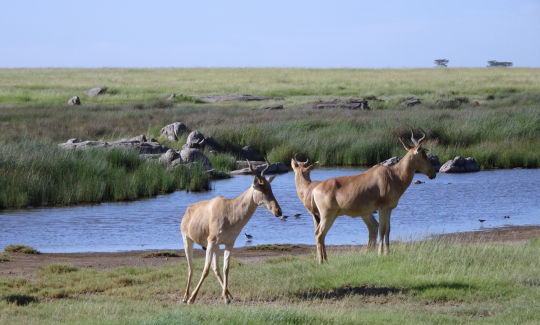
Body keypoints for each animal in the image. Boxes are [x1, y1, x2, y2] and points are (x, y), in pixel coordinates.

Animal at [181, 159, 282, 302]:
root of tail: (188, 210)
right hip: (188, 240)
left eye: (270, 187)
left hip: (215, 246)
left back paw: (229, 295)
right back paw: (186, 297)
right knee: (191, 267)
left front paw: (226, 298)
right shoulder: (211, 241)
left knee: (216, 269)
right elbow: (205, 270)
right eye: (261, 189)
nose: (278, 211)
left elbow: (226, 269)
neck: (229, 210)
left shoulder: (229, 243)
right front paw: (192, 299)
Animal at [312, 130, 434, 262]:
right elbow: (382, 229)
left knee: (320, 234)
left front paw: (387, 252)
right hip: (327, 214)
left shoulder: (389, 209)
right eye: (423, 154)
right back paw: (321, 261)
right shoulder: (382, 208)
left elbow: (388, 229)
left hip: (331, 215)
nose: (433, 173)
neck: (393, 175)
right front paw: (380, 253)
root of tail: (315, 189)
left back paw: (325, 260)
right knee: (319, 234)